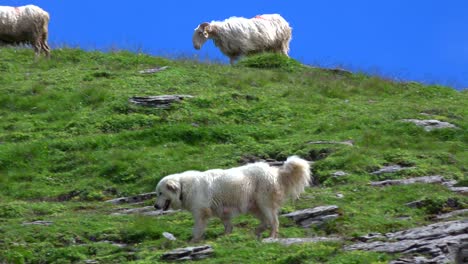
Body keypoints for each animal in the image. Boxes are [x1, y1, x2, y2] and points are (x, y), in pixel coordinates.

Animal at [154, 156, 310, 242]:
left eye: (160, 193)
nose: (155, 206)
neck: (183, 187)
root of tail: (274, 171)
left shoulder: (200, 210)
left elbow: (198, 226)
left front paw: (193, 240)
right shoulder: (222, 210)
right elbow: (227, 224)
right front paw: (225, 236)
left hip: (263, 200)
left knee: (273, 220)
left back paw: (271, 236)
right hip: (253, 204)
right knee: (265, 220)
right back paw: (256, 231)